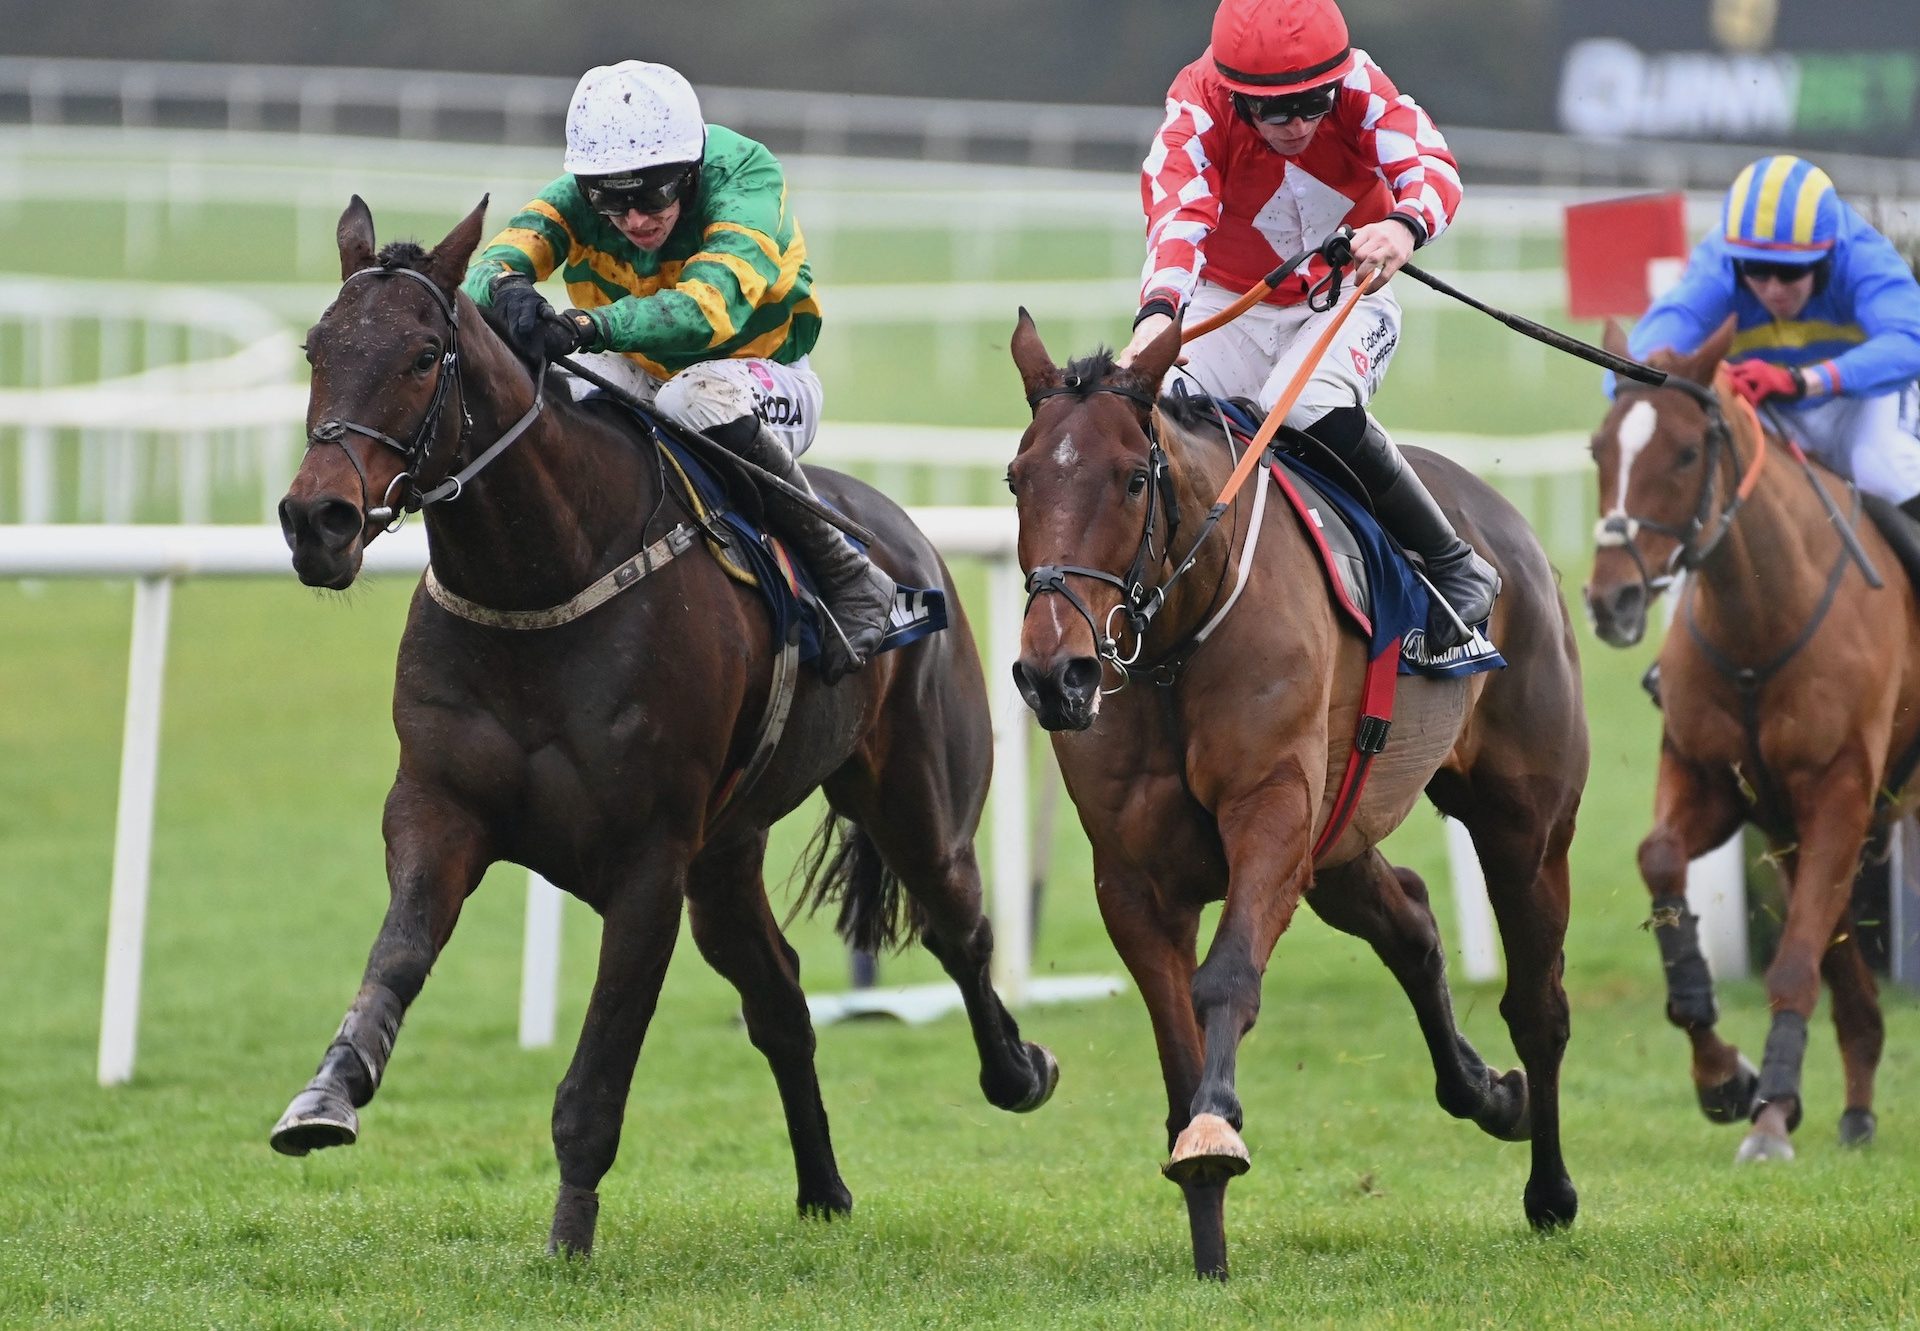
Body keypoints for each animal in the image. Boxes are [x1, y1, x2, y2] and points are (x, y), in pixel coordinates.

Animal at [264, 192, 1059, 1252]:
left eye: (424, 355)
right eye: (317, 347)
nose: (319, 520)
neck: (542, 582)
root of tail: (903, 535)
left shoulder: (648, 858)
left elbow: (597, 1075)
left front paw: (568, 1238)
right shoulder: (438, 808)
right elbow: (394, 955)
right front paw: (326, 1095)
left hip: (918, 801)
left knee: (959, 929)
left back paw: (1019, 1068)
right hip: (726, 857)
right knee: (780, 998)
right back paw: (823, 1188)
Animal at [1006, 314, 1589, 1275]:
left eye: (1133, 478)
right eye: (1018, 478)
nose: (1057, 673)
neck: (1177, 643)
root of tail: (1506, 523)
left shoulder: (1271, 815)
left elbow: (1226, 979)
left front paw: (1215, 1131)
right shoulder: (1133, 877)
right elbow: (1175, 1043)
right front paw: (1206, 1226)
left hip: (1526, 826)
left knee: (1537, 1005)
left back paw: (1550, 1188)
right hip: (1340, 840)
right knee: (1412, 921)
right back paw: (1488, 1093)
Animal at [1582, 316, 1912, 1160]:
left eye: (1685, 453)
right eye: (1599, 449)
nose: (1611, 600)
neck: (1762, 619)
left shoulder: (1840, 791)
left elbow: (1794, 963)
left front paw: (1771, 1114)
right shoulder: (1719, 783)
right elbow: (1660, 859)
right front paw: (1726, 1076)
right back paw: (1857, 1103)